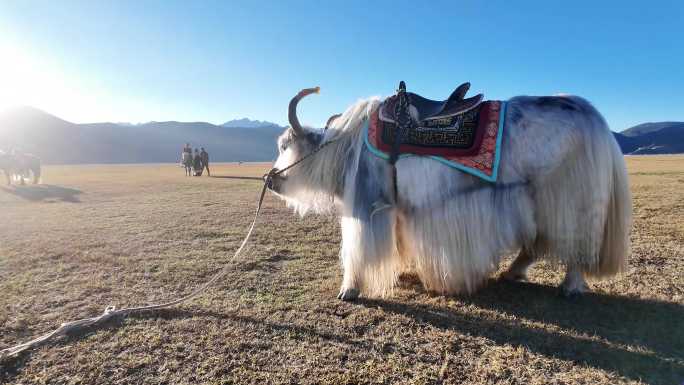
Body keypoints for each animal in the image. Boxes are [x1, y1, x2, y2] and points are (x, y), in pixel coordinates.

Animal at [266, 85, 632, 300]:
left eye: (284, 145)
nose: (270, 179)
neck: (347, 147)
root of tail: (596, 119)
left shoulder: (368, 201)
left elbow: (359, 248)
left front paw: (350, 289)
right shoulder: (398, 208)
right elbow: (399, 240)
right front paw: (404, 271)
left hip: (568, 200)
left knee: (573, 245)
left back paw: (570, 286)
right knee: (535, 243)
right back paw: (512, 273)